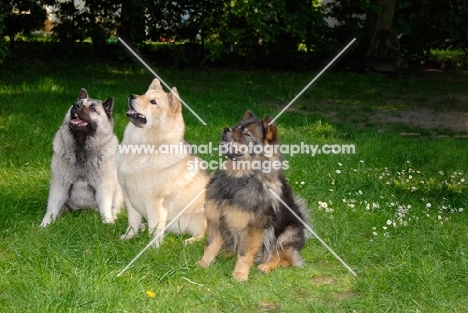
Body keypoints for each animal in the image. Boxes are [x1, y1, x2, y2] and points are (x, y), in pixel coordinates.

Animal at [197, 109, 308, 280]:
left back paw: (266, 266)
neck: (238, 176)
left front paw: (240, 275)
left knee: (284, 258)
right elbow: (210, 246)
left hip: (287, 234)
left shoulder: (253, 228)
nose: (226, 129)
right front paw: (203, 265)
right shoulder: (215, 219)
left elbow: (244, 254)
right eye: (236, 126)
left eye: (247, 134)